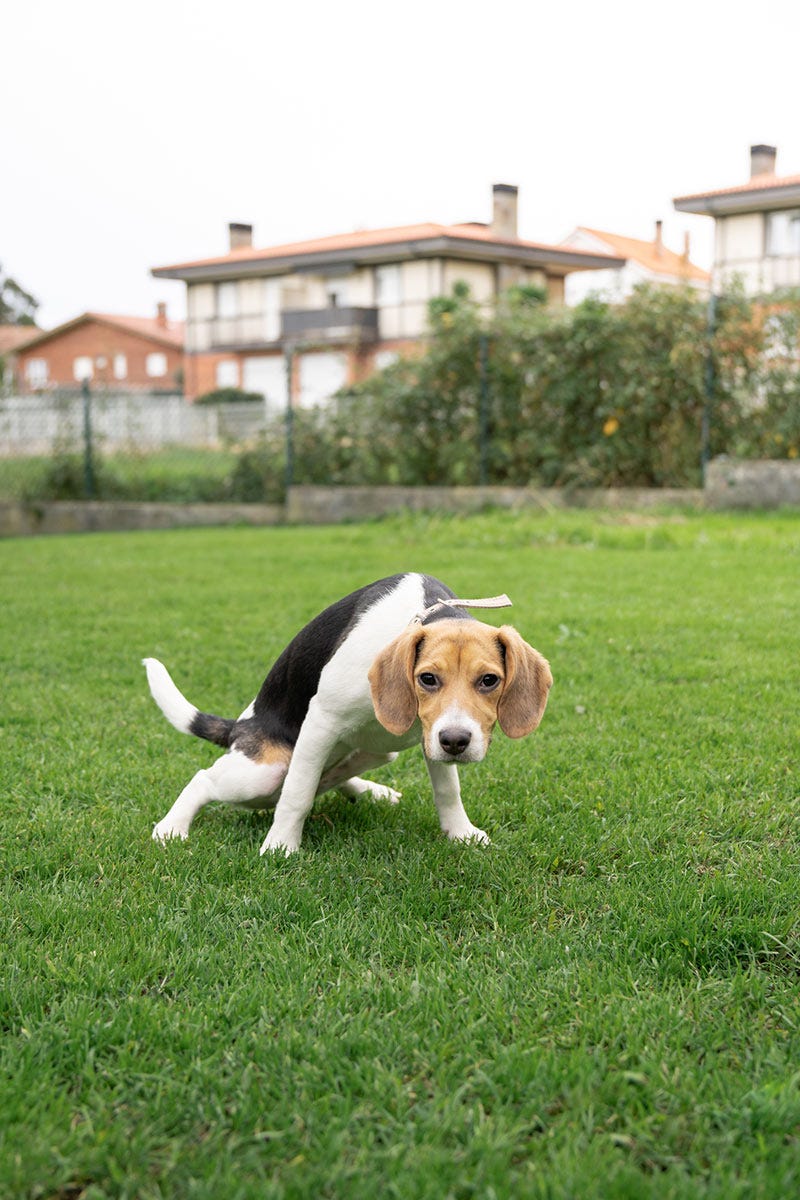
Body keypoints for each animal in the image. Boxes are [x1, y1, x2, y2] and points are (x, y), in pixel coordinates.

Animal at [143, 571, 554, 854]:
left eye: (489, 680)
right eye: (427, 678)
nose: (456, 741)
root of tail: (241, 727)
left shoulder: (431, 735)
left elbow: (447, 790)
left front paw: (461, 832)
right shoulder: (321, 721)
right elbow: (297, 795)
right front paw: (281, 846)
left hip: (378, 752)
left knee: (330, 777)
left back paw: (372, 790)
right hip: (261, 773)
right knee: (208, 780)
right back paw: (172, 827)